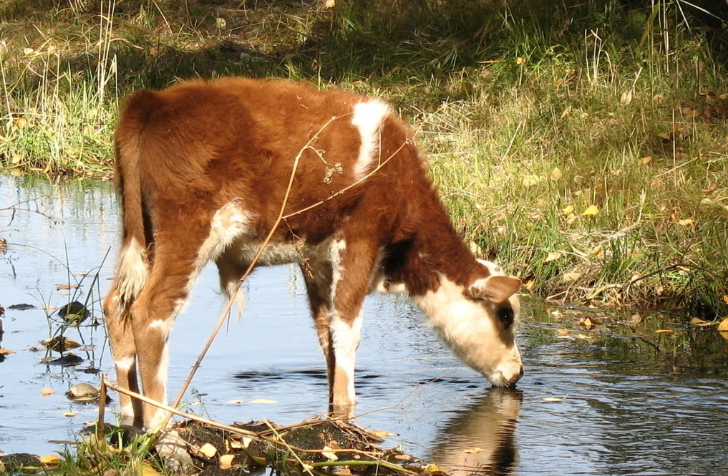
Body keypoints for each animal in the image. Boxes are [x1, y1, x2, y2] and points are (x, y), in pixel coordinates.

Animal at [102, 78, 524, 432]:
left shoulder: (315, 257)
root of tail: (154, 100)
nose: (518, 372)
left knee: (116, 305)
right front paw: (348, 409)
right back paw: (159, 421)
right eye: (506, 315)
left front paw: (333, 404)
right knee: (150, 311)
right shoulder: (360, 238)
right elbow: (348, 328)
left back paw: (128, 411)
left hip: (140, 235)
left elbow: (327, 330)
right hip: (188, 231)